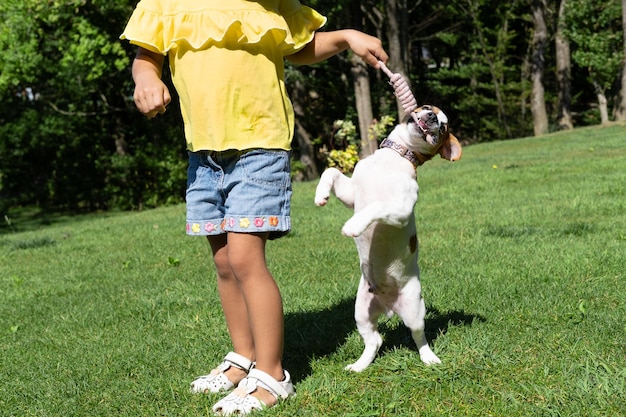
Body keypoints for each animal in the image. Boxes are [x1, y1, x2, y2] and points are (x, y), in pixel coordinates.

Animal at [314, 105, 460, 370]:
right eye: (427, 108)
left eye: (443, 128)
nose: (432, 118)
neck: (394, 158)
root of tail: (389, 307)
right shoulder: (351, 193)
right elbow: (330, 170)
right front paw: (321, 195)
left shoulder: (400, 209)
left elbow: (375, 206)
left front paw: (353, 225)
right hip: (361, 311)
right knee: (375, 340)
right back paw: (359, 366)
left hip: (414, 309)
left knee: (419, 336)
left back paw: (429, 358)